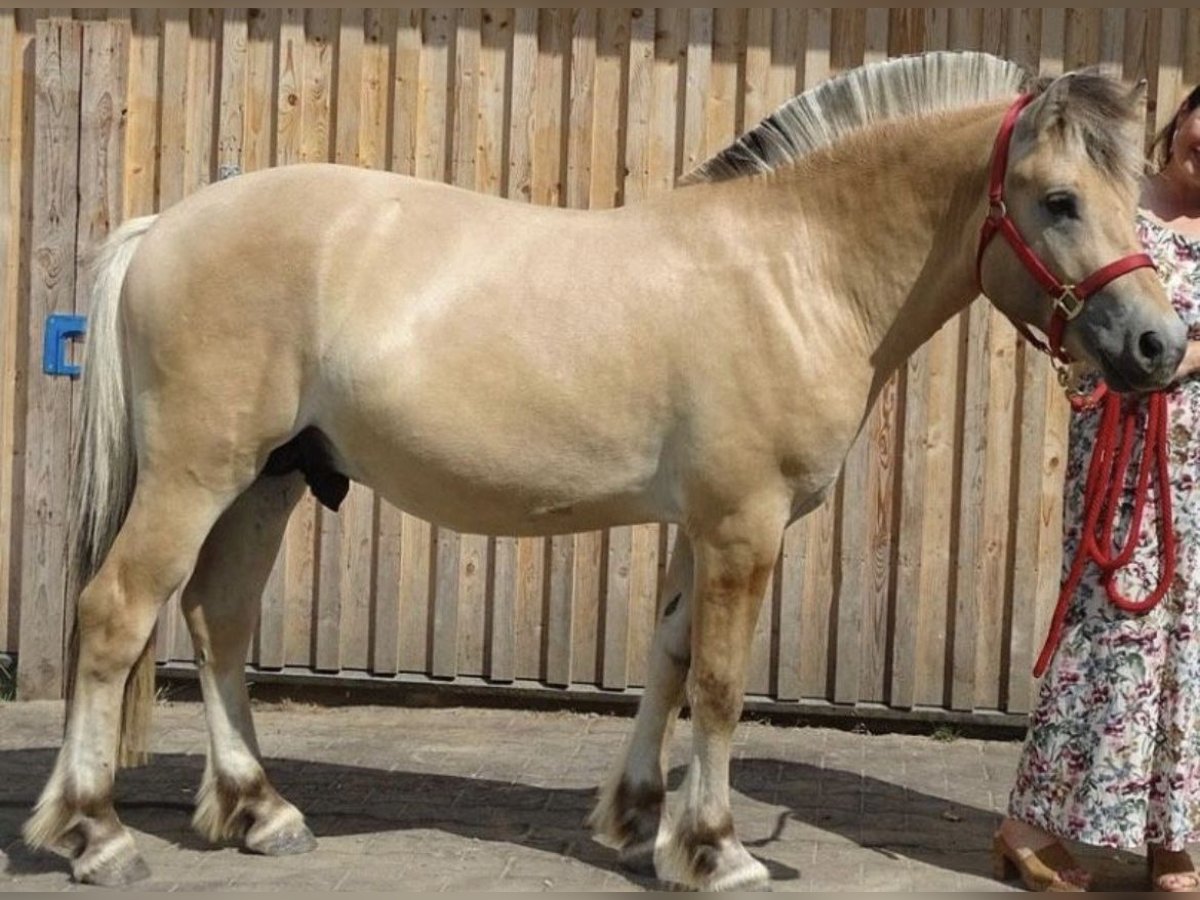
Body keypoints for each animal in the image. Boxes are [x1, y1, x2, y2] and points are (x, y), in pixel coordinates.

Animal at [23, 52, 1185, 892]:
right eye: (1059, 200)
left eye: (1132, 196)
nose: (1160, 346)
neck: (794, 269)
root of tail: (166, 225)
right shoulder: (742, 523)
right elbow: (718, 684)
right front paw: (716, 848)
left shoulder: (699, 524)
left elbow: (667, 657)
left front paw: (637, 823)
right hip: (197, 474)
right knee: (118, 611)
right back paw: (94, 833)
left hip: (268, 480)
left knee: (218, 621)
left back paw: (260, 810)